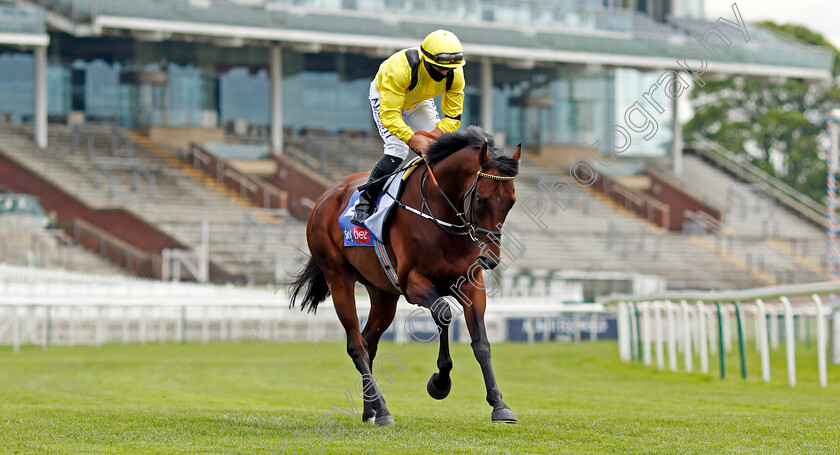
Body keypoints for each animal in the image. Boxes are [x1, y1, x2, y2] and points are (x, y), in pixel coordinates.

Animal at [292, 126, 520, 426]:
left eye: (511, 202)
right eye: (481, 199)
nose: (490, 258)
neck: (442, 215)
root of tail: (325, 196)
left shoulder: (472, 284)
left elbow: (481, 342)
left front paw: (499, 404)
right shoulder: (413, 282)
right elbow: (444, 313)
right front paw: (439, 383)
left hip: (383, 293)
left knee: (368, 342)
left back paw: (370, 410)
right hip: (338, 277)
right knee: (356, 345)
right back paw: (383, 411)